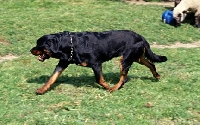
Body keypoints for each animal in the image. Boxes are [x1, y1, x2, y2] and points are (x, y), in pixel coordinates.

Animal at [30, 30, 167, 94]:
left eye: (39, 45)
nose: (30, 50)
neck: (70, 45)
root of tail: (141, 37)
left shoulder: (96, 64)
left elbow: (99, 79)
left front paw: (108, 87)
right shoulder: (63, 63)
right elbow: (52, 78)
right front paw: (42, 90)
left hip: (125, 59)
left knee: (124, 77)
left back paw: (114, 88)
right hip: (137, 57)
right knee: (151, 63)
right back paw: (156, 76)